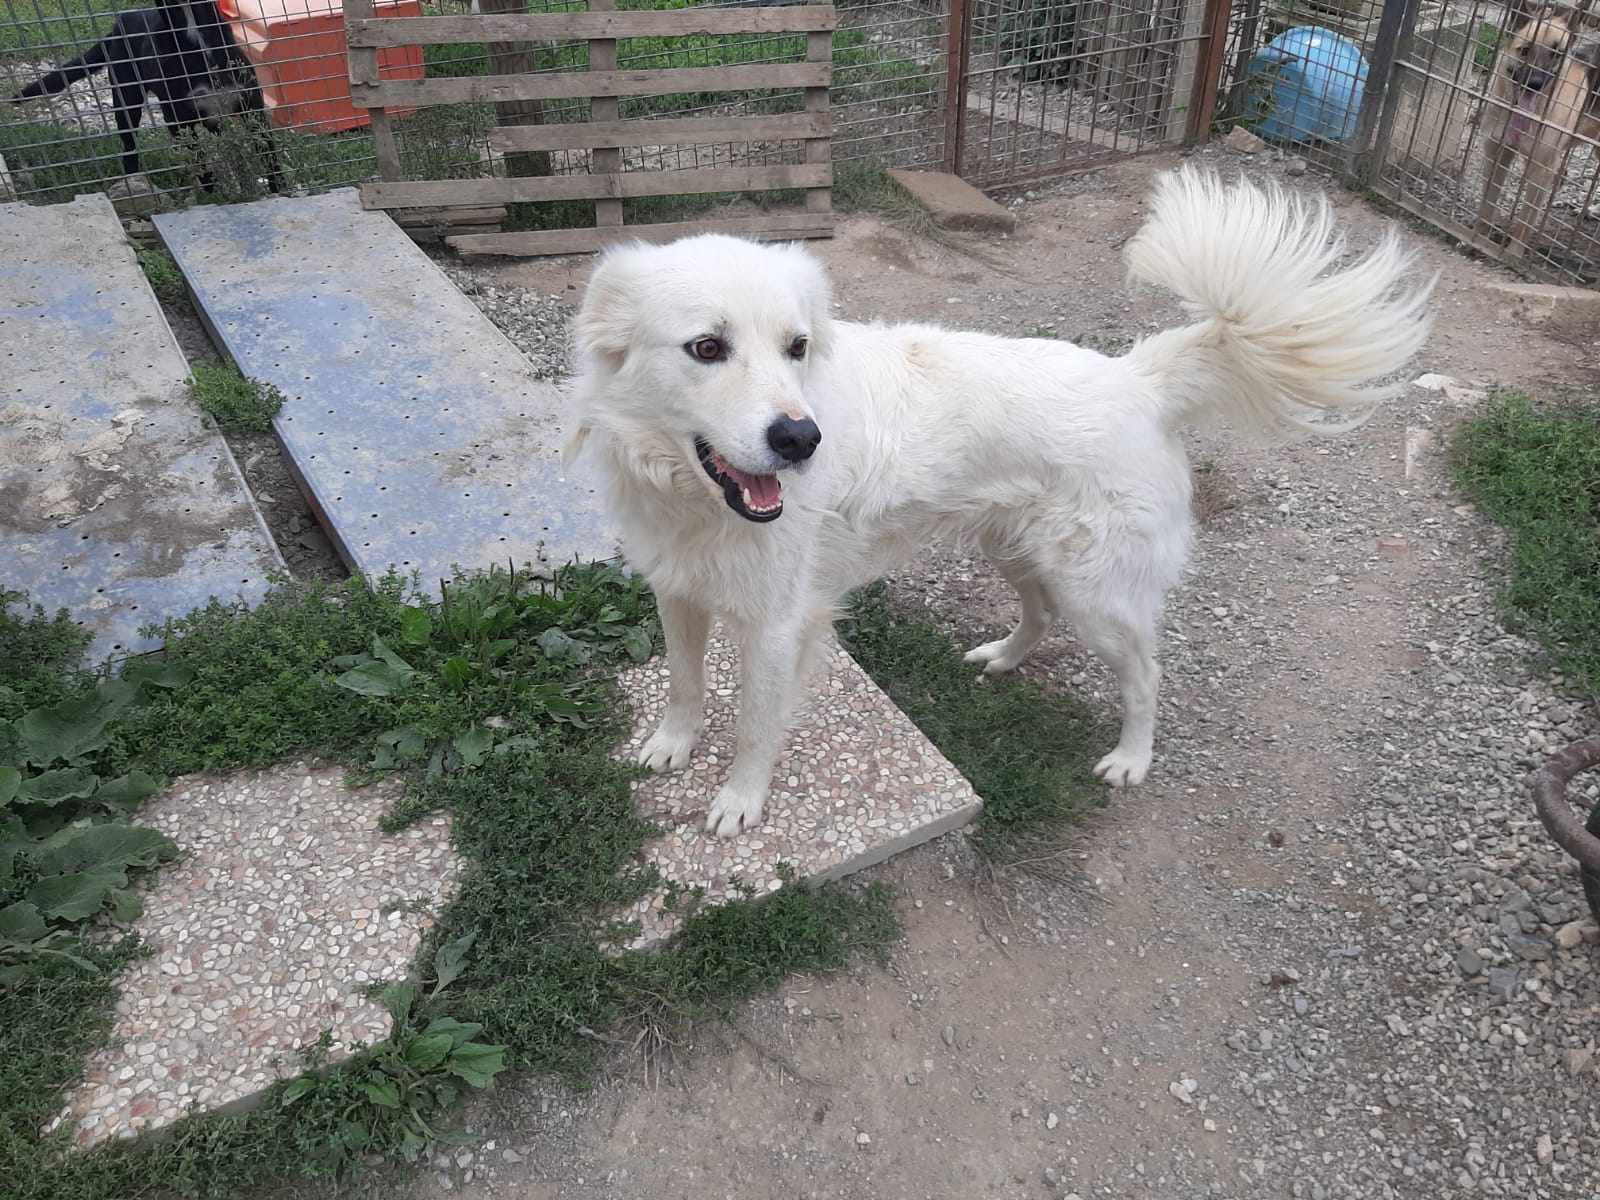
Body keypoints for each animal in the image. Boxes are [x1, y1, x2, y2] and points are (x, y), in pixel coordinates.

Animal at [6, 0, 282, 194]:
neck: (196, 35)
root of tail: (120, 23)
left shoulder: (253, 110)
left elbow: (270, 158)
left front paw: (278, 189)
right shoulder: (179, 120)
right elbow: (202, 165)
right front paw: (214, 195)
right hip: (126, 102)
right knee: (129, 148)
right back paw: (131, 182)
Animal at [569, 168, 1433, 838]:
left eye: (797, 347)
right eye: (706, 348)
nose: (801, 439)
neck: (691, 496)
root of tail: (1140, 379)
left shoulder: (780, 626)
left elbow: (754, 726)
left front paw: (740, 803)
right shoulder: (678, 589)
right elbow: (685, 683)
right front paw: (673, 745)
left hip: (1096, 593)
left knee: (1146, 672)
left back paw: (1132, 758)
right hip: (1014, 549)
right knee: (1040, 616)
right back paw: (1002, 659)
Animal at [1475, 3, 1599, 257]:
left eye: (1557, 53)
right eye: (1524, 50)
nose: (1535, 83)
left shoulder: (1542, 170)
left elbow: (1525, 220)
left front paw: (1512, 254)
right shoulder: (1497, 154)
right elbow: (1487, 202)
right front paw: (1478, 237)